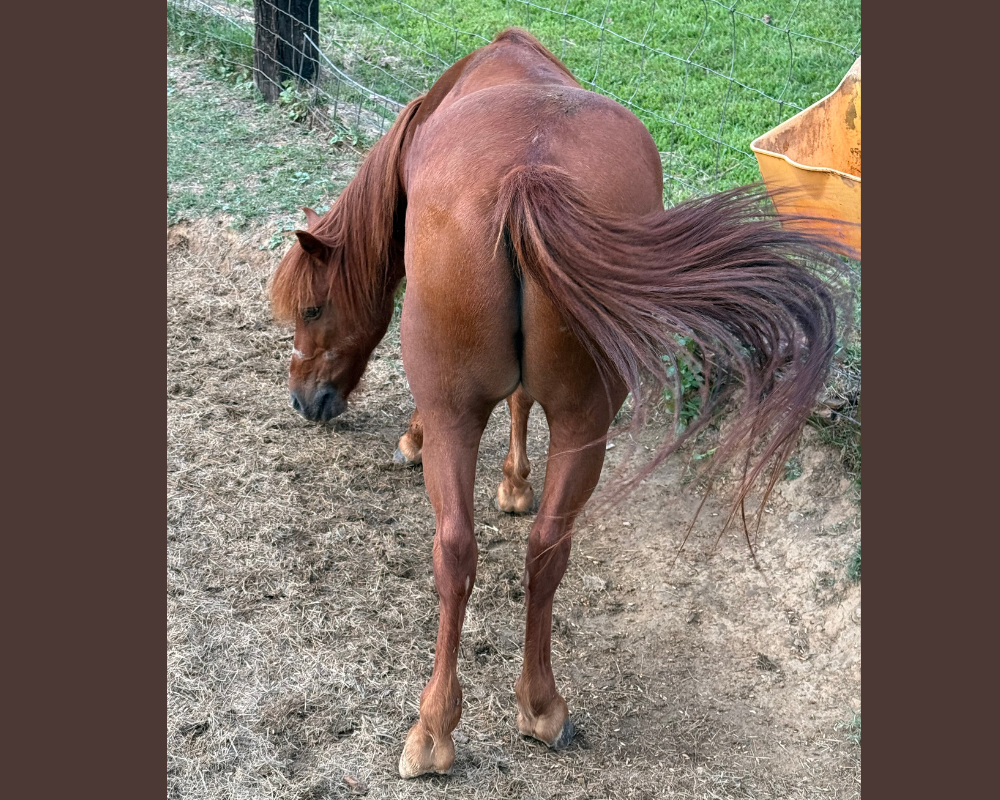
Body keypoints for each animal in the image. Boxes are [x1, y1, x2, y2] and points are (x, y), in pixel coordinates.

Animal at [269, 27, 844, 778]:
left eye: (313, 308)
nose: (305, 401)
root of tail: (526, 179)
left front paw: (433, 450)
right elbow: (521, 409)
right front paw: (517, 486)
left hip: (467, 412)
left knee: (457, 547)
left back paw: (435, 730)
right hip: (583, 423)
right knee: (536, 549)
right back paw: (532, 710)